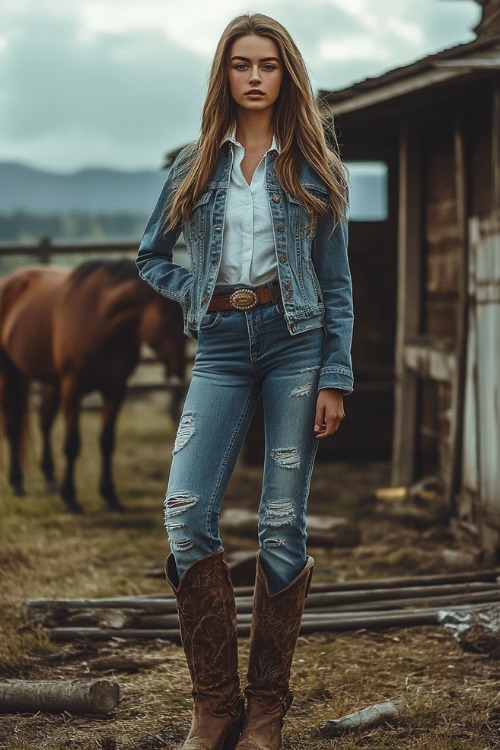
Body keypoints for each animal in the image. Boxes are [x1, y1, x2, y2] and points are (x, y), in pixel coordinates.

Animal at [0, 258, 188, 512]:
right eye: (167, 313)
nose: (180, 368)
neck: (99, 320)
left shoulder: (115, 390)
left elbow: (107, 441)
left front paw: (110, 496)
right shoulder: (72, 389)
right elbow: (72, 443)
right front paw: (70, 498)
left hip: (51, 382)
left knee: (44, 423)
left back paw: (50, 481)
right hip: (10, 373)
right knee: (13, 426)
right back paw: (18, 483)